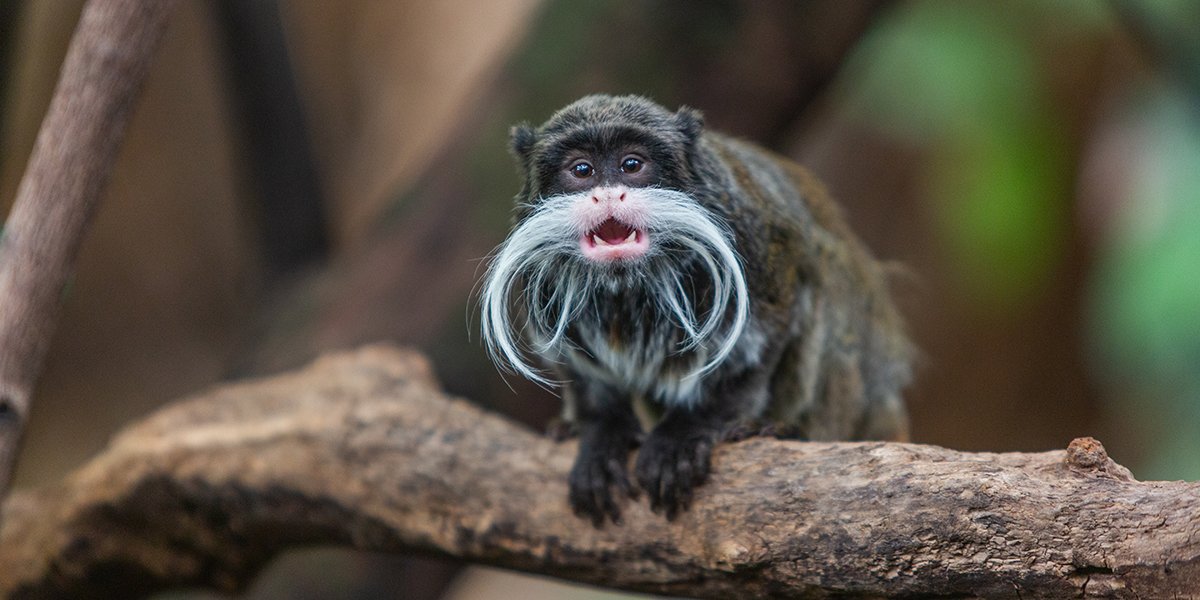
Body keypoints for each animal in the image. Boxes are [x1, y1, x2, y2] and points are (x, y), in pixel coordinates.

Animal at [480, 94, 913, 526]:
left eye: (631, 165)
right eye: (582, 170)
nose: (607, 195)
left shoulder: (750, 235)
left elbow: (764, 338)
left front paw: (686, 432)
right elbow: (581, 370)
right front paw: (601, 437)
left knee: (821, 266)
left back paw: (782, 428)